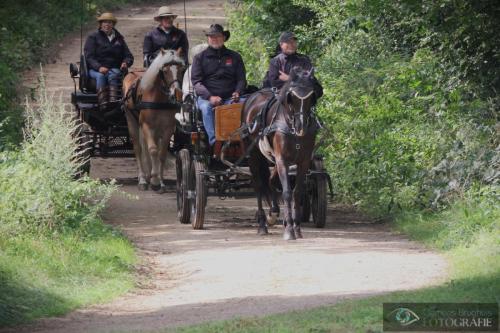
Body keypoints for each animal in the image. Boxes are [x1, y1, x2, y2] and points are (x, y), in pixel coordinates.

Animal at [123, 48, 186, 191]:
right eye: (165, 70)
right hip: (131, 121)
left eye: (181, 69)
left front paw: (160, 181)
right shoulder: (146, 125)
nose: (176, 93)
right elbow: (152, 150)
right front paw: (154, 180)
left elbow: (161, 153)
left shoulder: (168, 128)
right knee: (138, 149)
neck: (158, 99)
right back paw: (142, 179)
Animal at [242, 67, 320, 239]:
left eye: (311, 95)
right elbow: (287, 192)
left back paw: (273, 213)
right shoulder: (282, 159)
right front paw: (289, 230)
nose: (301, 126)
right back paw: (262, 224)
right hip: (253, 155)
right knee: (258, 185)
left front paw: (296, 227)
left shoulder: (303, 161)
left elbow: (297, 192)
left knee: (270, 181)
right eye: (292, 97)